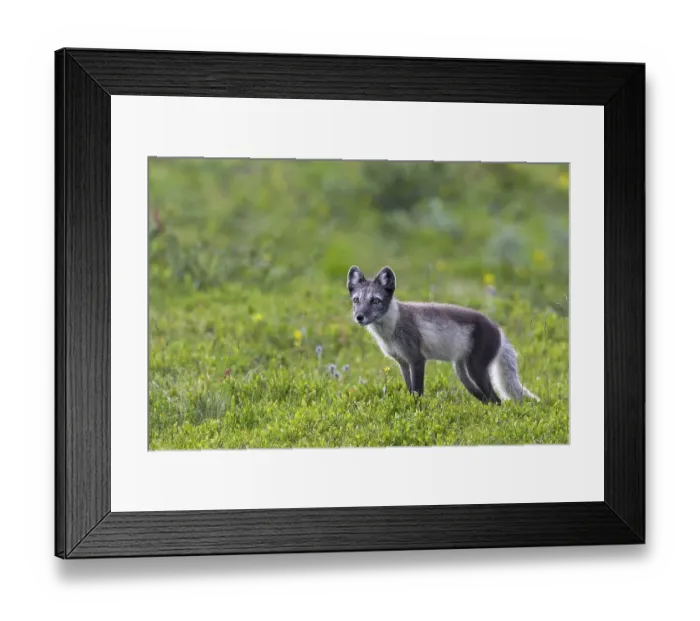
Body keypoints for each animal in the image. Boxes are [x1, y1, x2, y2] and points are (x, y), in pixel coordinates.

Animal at [347, 265, 539, 404]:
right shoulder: (403, 362)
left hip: (476, 369)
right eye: (356, 300)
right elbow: (410, 390)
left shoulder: (417, 359)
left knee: (497, 400)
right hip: (463, 373)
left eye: (375, 301)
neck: (391, 328)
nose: (359, 317)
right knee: (488, 400)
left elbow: (418, 392)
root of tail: (498, 329)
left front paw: (417, 412)